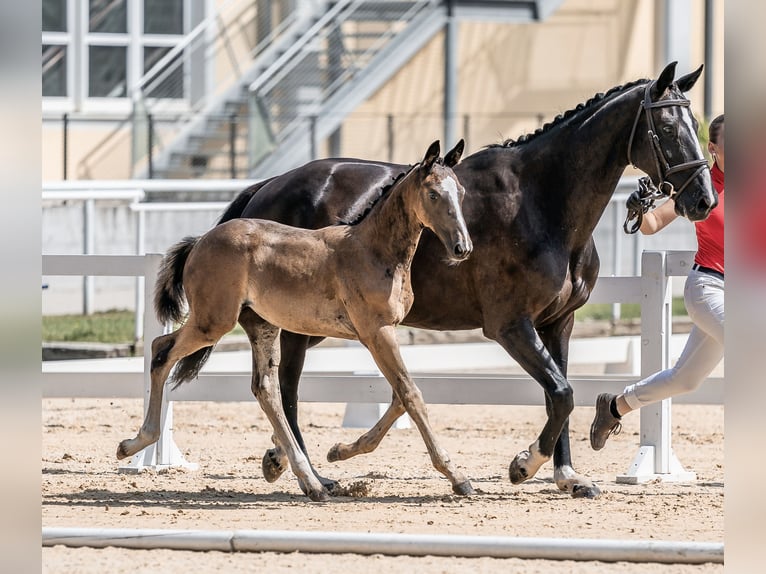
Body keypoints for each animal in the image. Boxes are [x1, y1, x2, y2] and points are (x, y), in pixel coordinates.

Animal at [117, 141, 473, 501]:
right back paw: (136, 443)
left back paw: (309, 479)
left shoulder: (383, 333)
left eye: (460, 191)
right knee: (162, 350)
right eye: (433, 194)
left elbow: (399, 397)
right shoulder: (377, 332)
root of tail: (200, 241)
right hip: (214, 321)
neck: (373, 251)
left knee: (264, 388)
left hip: (261, 326)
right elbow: (411, 395)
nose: (462, 247)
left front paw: (338, 450)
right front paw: (456, 476)